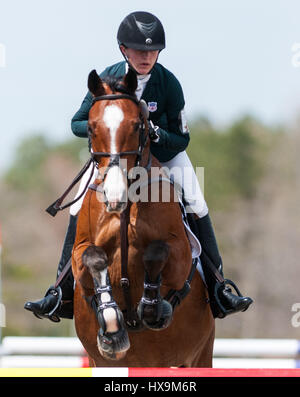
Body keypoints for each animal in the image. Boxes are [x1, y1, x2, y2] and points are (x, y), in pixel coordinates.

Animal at [71, 67, 214, 366]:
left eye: (138, 126)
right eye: (90, 128)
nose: (114, 196)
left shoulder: (182, 256)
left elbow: (155, 252)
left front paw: (152, 309)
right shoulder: (80, 253)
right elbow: (93, 257)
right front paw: (113, 327)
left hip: (198, 356)